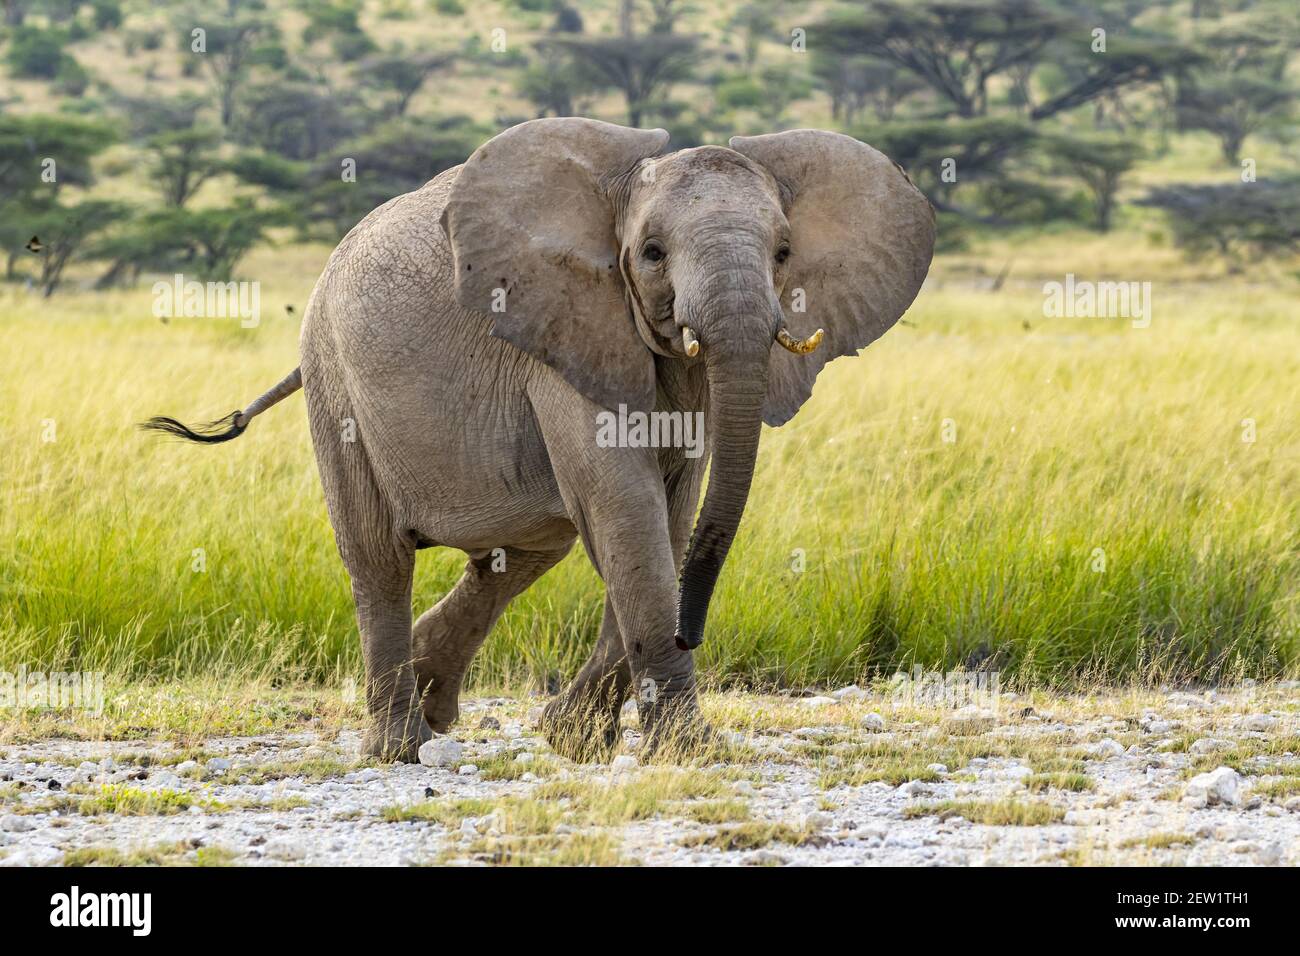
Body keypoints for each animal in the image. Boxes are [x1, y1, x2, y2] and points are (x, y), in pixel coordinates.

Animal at [145, 118, 934, 762]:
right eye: (651, 253)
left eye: (784, 251)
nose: (692, 633)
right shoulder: (562, 331)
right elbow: (626, 511)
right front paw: (686, 751)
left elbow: (669, 520)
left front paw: (573, 739)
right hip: (334, 377)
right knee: (378, 557)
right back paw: (400, 745)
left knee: (519, 553)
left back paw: (435, 698)